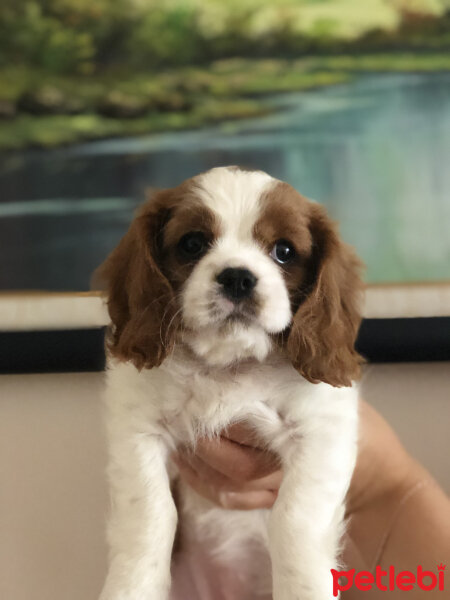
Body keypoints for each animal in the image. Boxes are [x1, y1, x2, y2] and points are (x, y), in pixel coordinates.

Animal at [96, 166, 364, 600]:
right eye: (192, 244)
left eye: (284, 251)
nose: (238, 277)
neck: (230, 363)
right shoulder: (137, 430)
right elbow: (150, 515)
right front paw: (130, 587)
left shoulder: (322, 432)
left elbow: (294, 519)